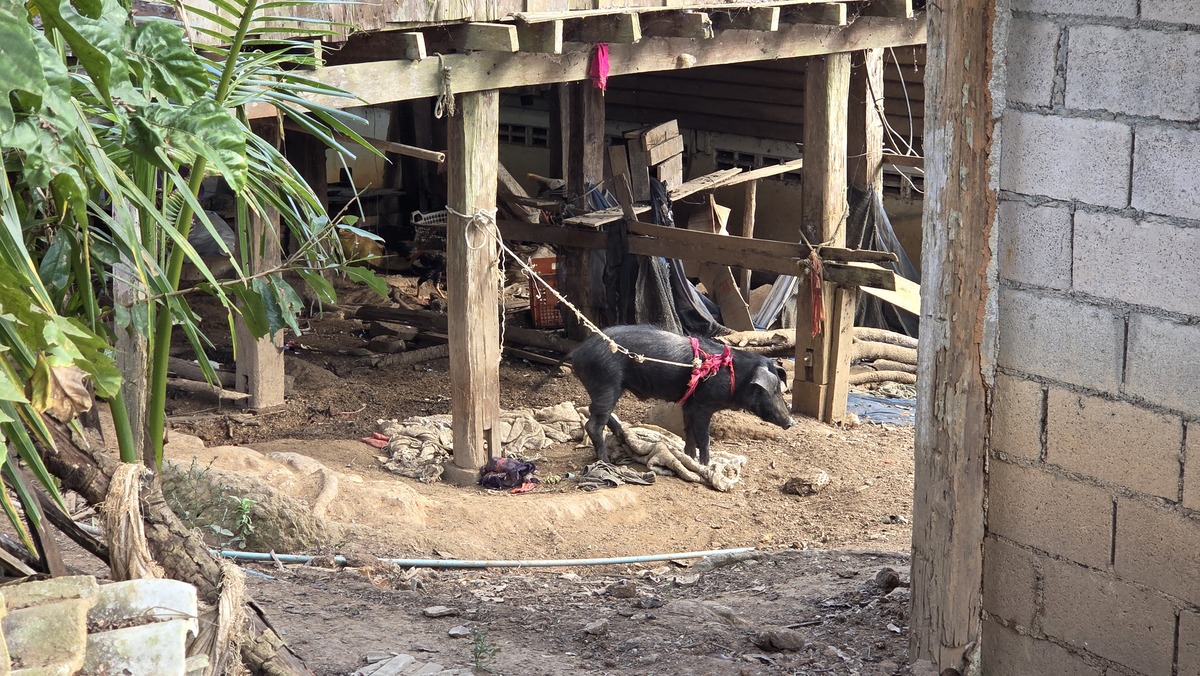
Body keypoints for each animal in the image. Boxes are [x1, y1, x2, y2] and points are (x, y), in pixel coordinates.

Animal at [570, 324, 795, 465]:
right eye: (772, 389)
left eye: (779, 388)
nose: (791, 422)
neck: (735, 376)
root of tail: (578, 352)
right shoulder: (703, 405)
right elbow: (703, 436)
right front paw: (707, 464)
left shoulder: (690, 404)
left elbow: (689, 432)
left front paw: (689, 458)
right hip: (607, 383)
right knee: (593, 424)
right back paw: (607, 462)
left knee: (594, 410)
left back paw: (621, 435)